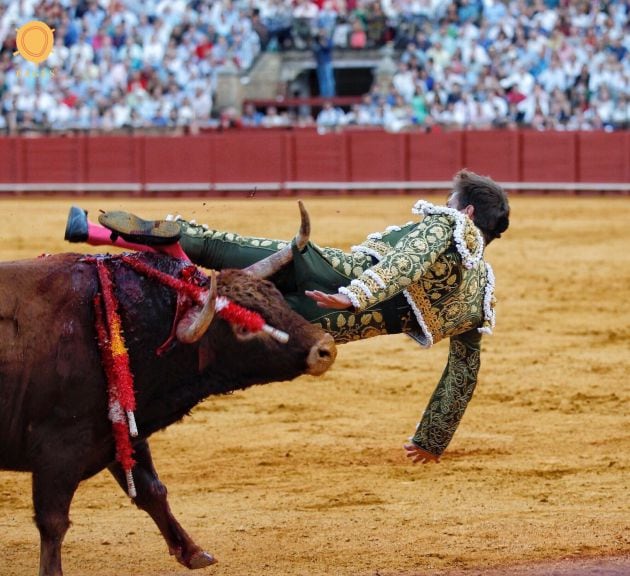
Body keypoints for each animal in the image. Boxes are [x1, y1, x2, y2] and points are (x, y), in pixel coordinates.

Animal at [0, 212, 336, 576]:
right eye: (244, 327)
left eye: (275, 295)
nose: (325, 348)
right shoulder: (59, 447)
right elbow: (54, 522)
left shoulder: (118, 428)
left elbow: (151, 491)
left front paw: (194, 552)